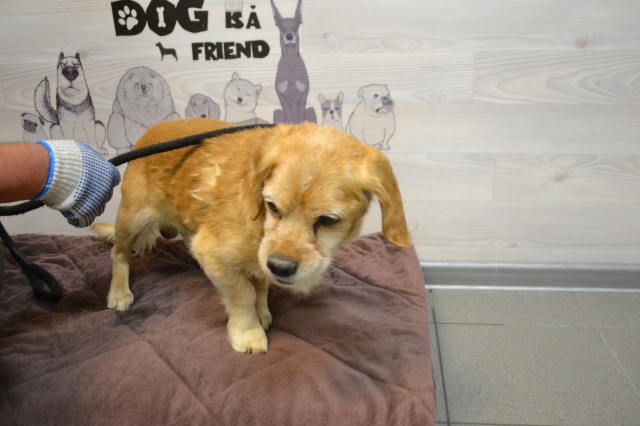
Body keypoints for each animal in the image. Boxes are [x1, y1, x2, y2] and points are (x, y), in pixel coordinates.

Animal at [92, 118, 411, 354]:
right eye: (272, 206)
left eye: (328, 221)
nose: (281, 267)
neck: (261, 228)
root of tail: (149, 133)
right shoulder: (213, 255)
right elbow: (243, 294)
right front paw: (248, 331)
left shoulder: (259, 263)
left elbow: (259, 286)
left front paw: (262, 312)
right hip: (131, 220)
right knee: (118, 254)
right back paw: (119, 292)